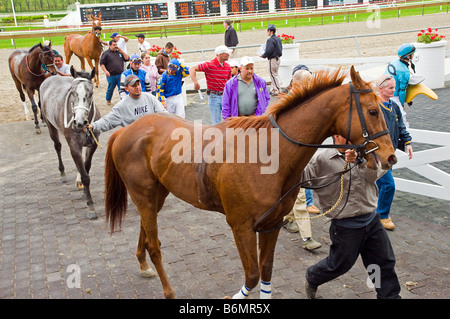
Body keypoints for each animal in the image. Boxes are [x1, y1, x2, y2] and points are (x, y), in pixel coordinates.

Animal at [40, 67, 101, 220]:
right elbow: (85, 176)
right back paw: (62, 173)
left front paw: (84, 191)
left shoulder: (93, 144)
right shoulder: (74, 147)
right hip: (50, 127)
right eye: (73, 92)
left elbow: (86, 167)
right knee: (57, 147)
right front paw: (90, 207)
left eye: (90, 93)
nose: (79, 122)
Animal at [103, 67, 398, 300]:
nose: (390, 156)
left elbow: (266, 270)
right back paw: (168, 290)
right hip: (142, 193)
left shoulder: (271, 224)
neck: (268, 155)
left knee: (146, 231)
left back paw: (143, 265)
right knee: (154, 245)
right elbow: (253, 274)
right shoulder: (241, 226)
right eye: (373, 111)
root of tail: (126, 130)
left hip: (157, 194)